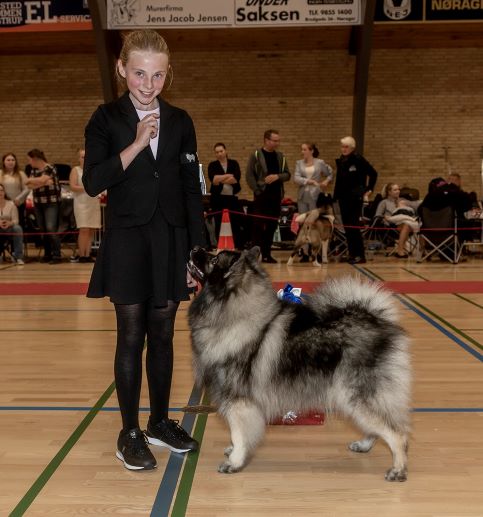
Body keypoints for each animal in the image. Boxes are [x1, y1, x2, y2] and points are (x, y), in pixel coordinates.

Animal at [187, 246, 410, 480]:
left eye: (213, 259)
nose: (194, 248)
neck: (236, 317)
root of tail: (377, 320)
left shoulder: (239, 401)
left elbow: (239, 434)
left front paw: (234, 461)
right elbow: (237, 434)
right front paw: (233, 452)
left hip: (356, 396)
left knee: (397, 433)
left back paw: (398, 469)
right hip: (352, 399)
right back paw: (364, 445)